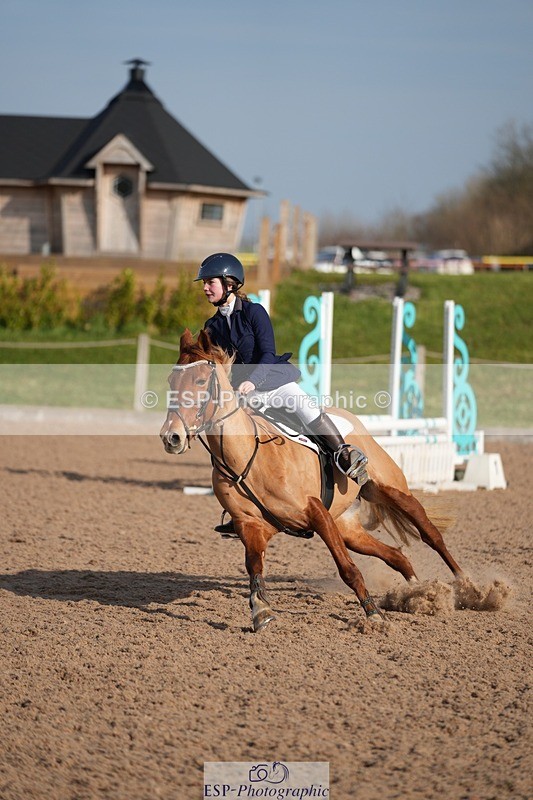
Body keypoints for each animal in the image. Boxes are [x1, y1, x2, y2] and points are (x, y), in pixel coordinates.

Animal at [160, 328, 464, 632]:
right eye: (171, 381)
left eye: (201, 380)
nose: (171, 437)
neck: (246, 457)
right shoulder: (250, 526)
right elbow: (254, 569)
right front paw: (261, 611)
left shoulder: (317, 514)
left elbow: (348, 569)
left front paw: (373, 615)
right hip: (347, 528)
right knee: (396, 555)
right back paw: (418, 592)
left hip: (389, 491)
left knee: (430, 534)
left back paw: (464, 587)